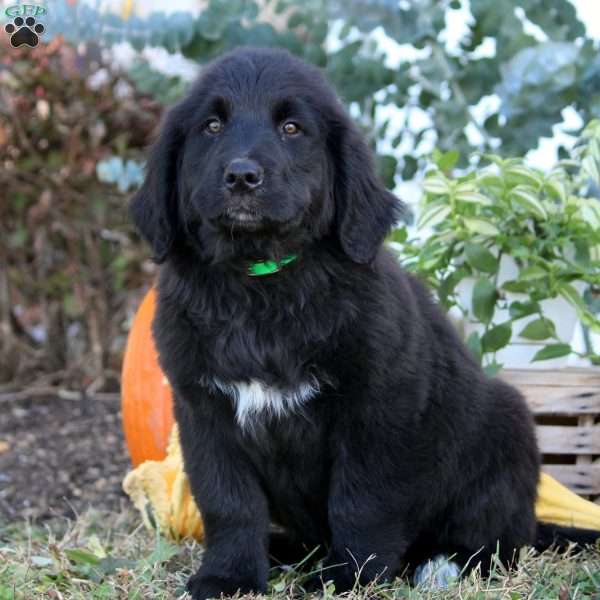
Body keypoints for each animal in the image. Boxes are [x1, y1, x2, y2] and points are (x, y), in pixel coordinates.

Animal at [131, 48, 572, 600]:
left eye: (292, 128)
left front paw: (354, 578)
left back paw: (444, 563)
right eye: (211, 126)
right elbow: (230, 502)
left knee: (501, 539)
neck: (260, 286)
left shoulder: (377, 410)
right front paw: (229, 577)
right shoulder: (204, 412)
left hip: (507, 423)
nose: (241, 177)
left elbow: (361, 501)